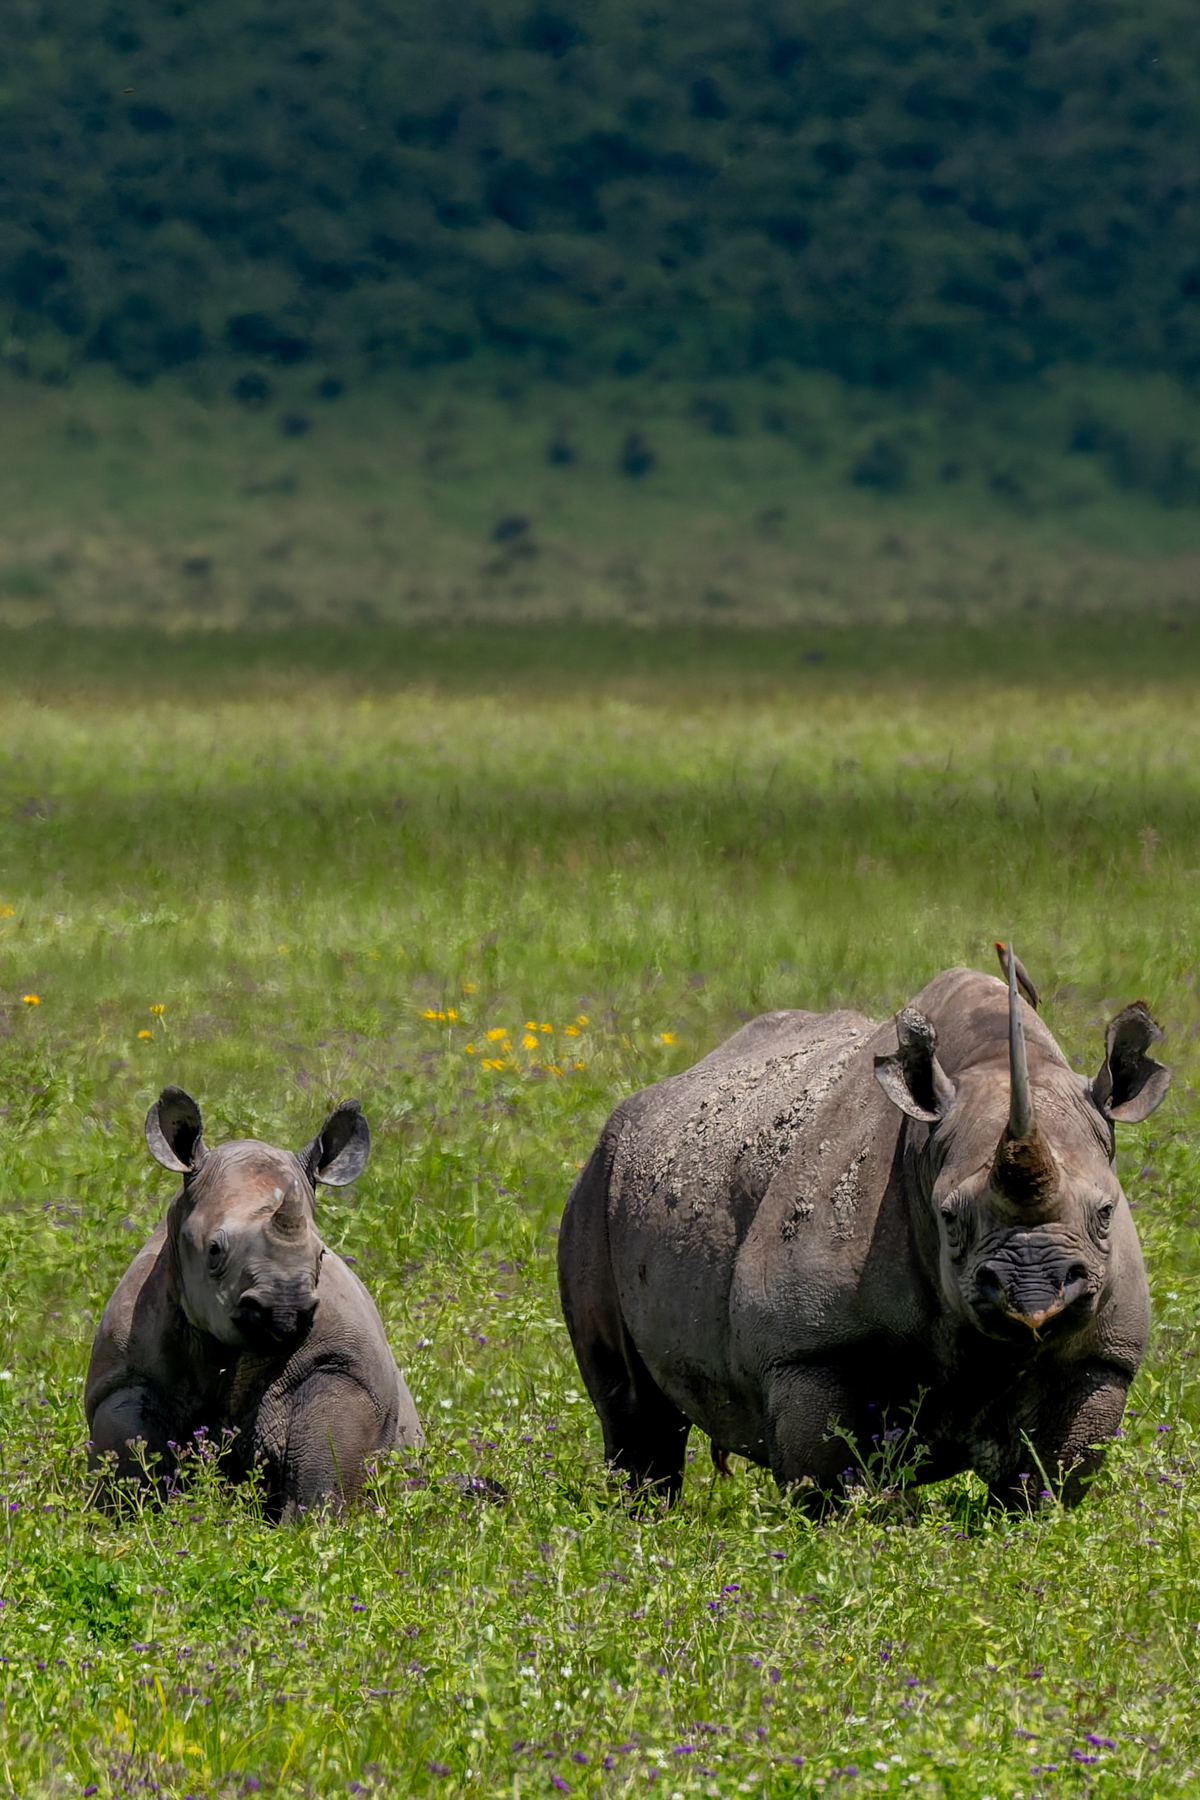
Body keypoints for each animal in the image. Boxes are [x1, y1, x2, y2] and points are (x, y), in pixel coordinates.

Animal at [86, 1088, 422, 1517]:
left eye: (321, 1255)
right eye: (214, 1250)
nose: (285, 1308)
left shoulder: (344, 1369)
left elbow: (326, 1461)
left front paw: (311, 1525)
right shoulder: (125, 1377)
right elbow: (131, 1459)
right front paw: (134, 1517)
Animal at [558, 952, 1169, 1510]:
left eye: (1106, 1214)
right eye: (949, 1219)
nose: (1035, 1295)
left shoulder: (1103, 1358)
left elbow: (1049, 1480)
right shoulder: (808, 1348)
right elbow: (830, 1476)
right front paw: (853, 1533)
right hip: (599, 1177)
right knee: (634, 1409)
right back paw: (643, 1516)